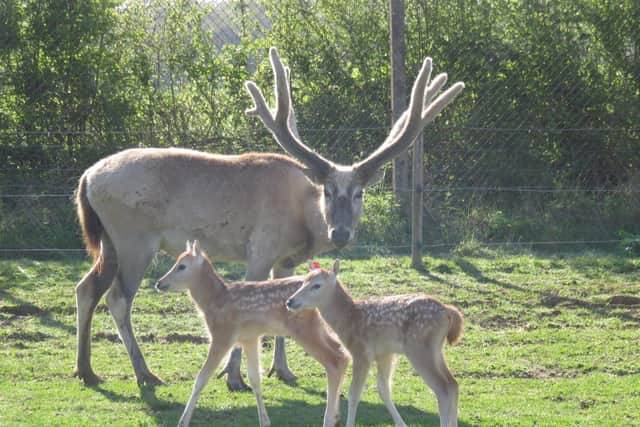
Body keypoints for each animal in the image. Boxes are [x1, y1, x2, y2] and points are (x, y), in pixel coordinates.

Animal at [74, 46, 464, 388]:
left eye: (359, 193)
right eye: (327, 191)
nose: (340, 233)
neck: (302, 220)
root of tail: (86, 178)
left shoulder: (286, 260)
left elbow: (287, 306)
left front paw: (283, 370)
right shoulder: (260, 249)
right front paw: (234, 376)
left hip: (108, 241)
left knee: (86, 288)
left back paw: (86, 370)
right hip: (134, 239)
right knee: (117, 298)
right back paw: (144, 373)